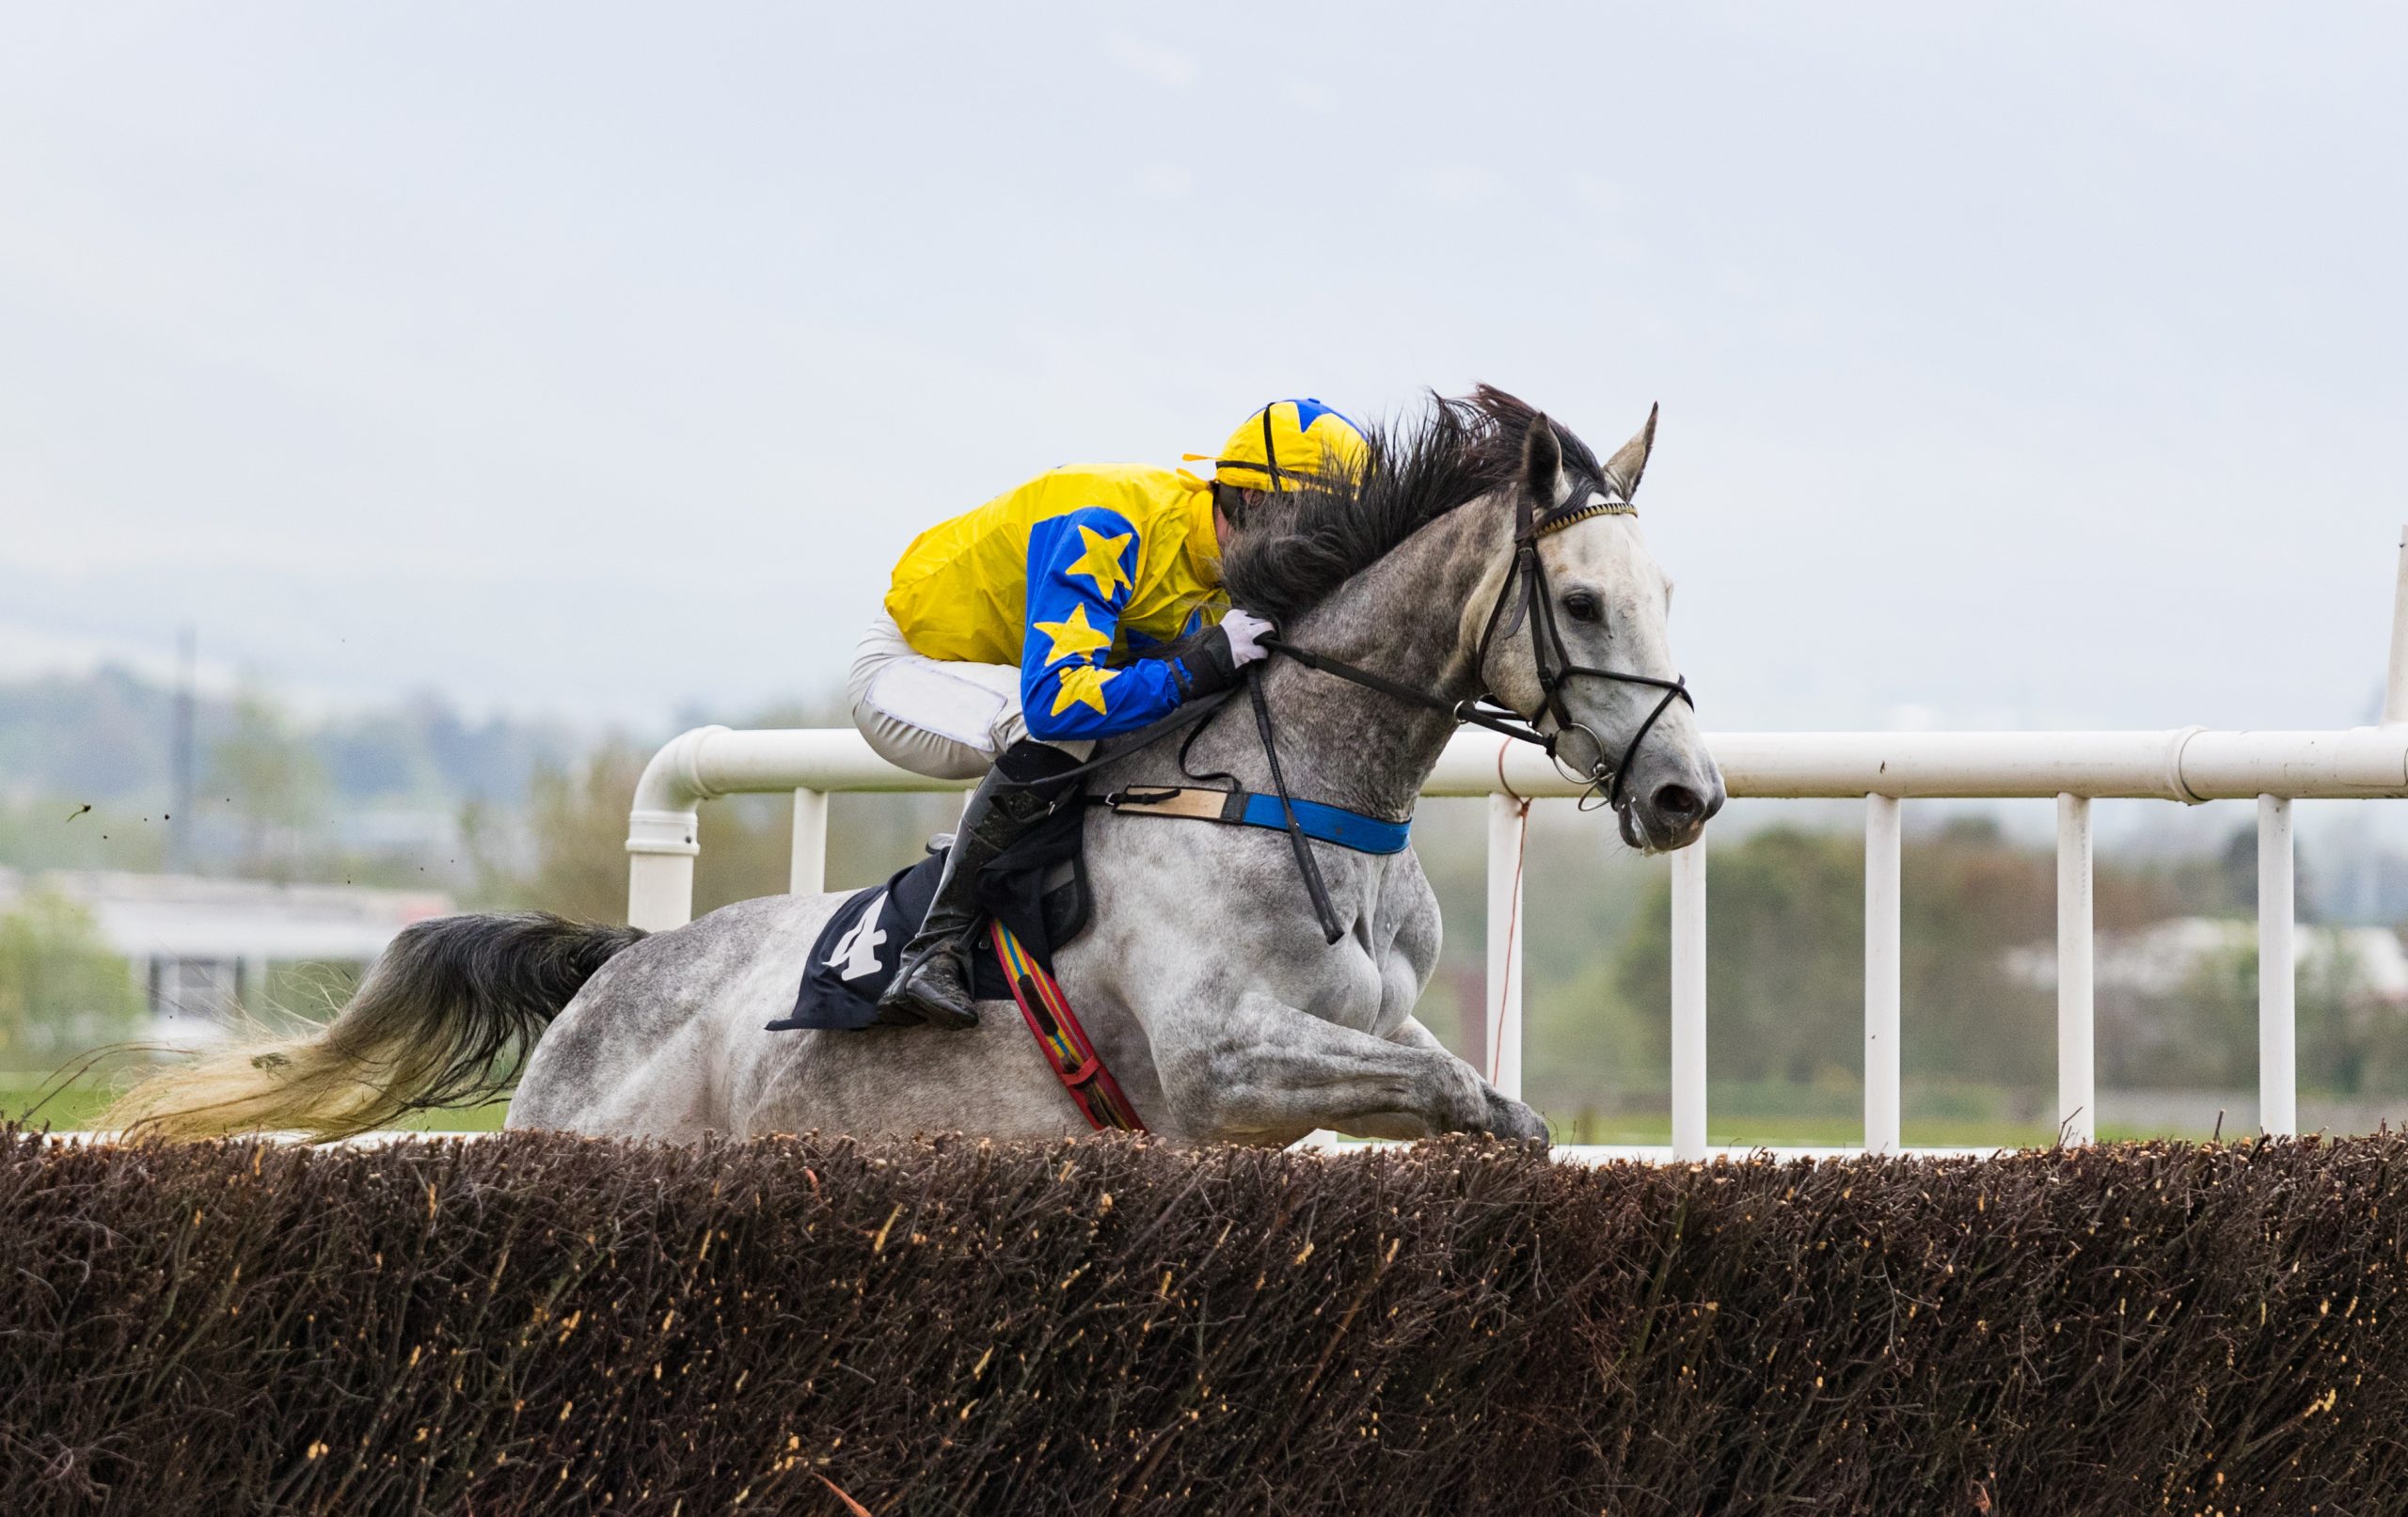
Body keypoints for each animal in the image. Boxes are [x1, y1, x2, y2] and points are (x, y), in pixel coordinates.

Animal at [107, 388, 1723, 1147]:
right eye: (1584, 603)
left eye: (1668, 592)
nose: (1684, 794)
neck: (1295, 795)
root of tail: (617, 963)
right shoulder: (1219, 1061)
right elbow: (1453, 1088)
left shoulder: (1346, 1042)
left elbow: (1464, 1083)